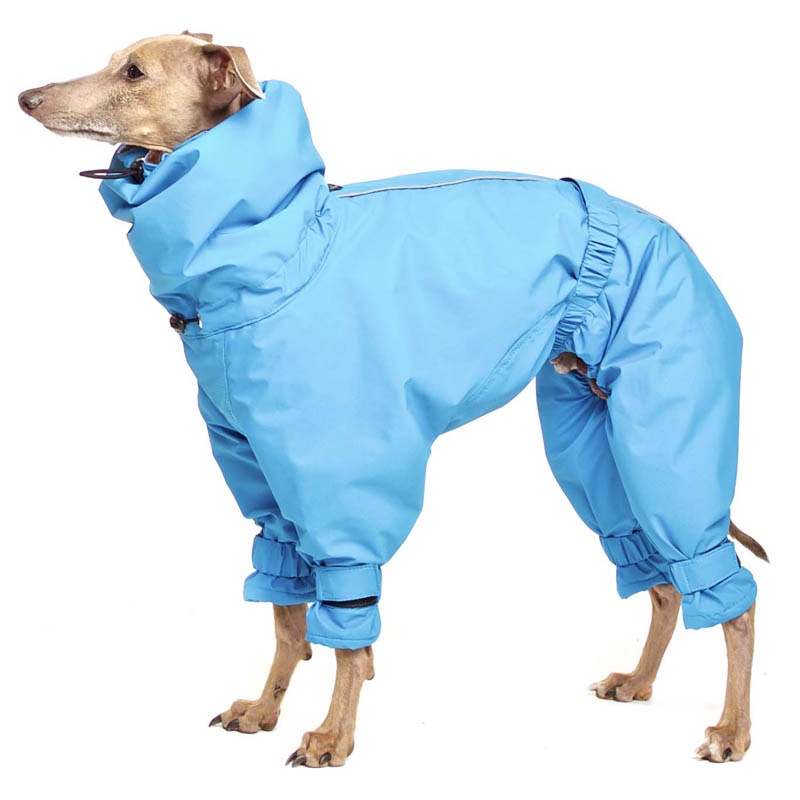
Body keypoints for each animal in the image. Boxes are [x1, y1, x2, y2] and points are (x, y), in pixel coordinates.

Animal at [19, 32, 767, 768]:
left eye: (134, 71)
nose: (26, 97)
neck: (279, 253)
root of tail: (667, 233)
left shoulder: (340, 489)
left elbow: (346, 628)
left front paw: (331, 736)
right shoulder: (266, 486)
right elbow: (287, 617)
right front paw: (264, 709)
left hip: (663, 441)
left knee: (730, 598)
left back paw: (732, 731)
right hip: (595, 450)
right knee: (664, 581)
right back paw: (638, 682)